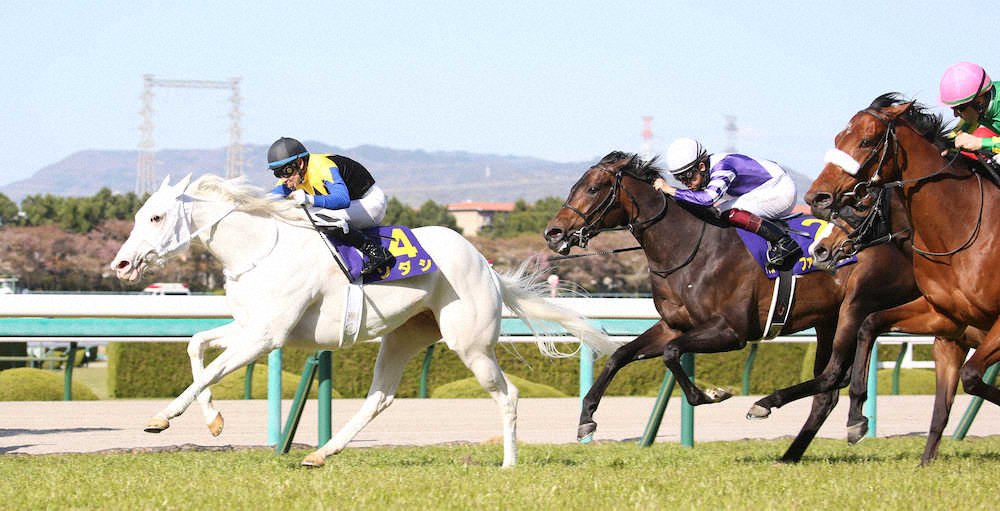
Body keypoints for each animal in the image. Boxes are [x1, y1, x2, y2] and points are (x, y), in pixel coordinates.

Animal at [110, 174, 618, 468]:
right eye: (139, 215)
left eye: (156, 217)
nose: (121, 264)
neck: (261, 249)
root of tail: (485, 264)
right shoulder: (252, 326)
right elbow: (196, 345)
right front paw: (214, 422)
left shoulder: (266, 336)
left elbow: (211, 369)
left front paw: (161, 418)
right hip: (403, 336)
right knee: (380, 397)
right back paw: (322, 453)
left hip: (469, 343)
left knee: (507, 394)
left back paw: (509, 464)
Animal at [543, 151, 921, 462]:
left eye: (594, 188)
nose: (553, 232)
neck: (688, 248)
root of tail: (898, 238)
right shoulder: (672, 326)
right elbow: (620, 356)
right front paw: (586, 417)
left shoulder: (731, 331)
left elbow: (672, 355)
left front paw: (712, 393)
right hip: (827, 320)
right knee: (827, 390)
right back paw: (792, 452)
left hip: (856, 305)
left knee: (840, 369)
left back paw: (798, 410)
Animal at [805, 92, 1000, 458]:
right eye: (838, 138)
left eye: (867, 141)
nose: (816, 197)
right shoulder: (946, 321)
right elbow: (870, 325)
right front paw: (856, 418)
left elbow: (970, 377)